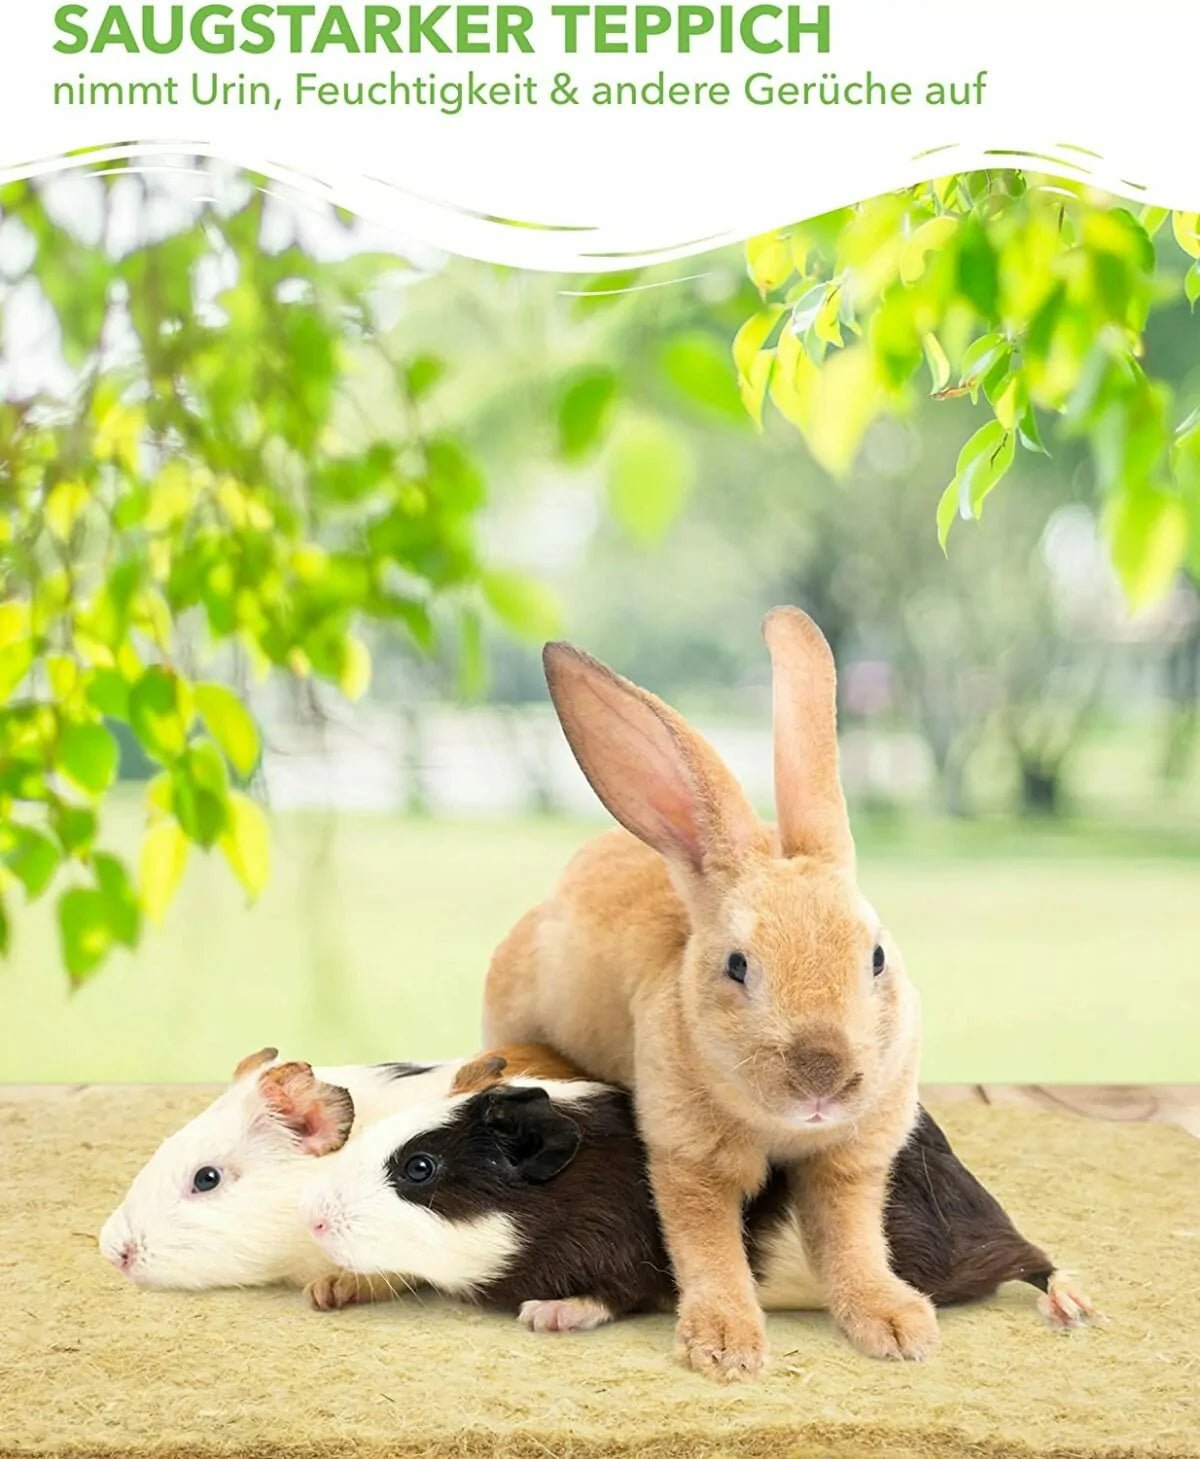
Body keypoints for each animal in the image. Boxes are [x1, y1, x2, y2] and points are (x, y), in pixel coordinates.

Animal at [483, 607, 939, 1380]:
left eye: (876, 957)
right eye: (737, 966)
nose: (822, 1075)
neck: (786, 1125)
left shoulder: (851, 1159)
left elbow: (851, 1238)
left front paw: (898, 1326)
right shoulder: (689, 1158)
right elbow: (708, 1245)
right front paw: (725, 1347)